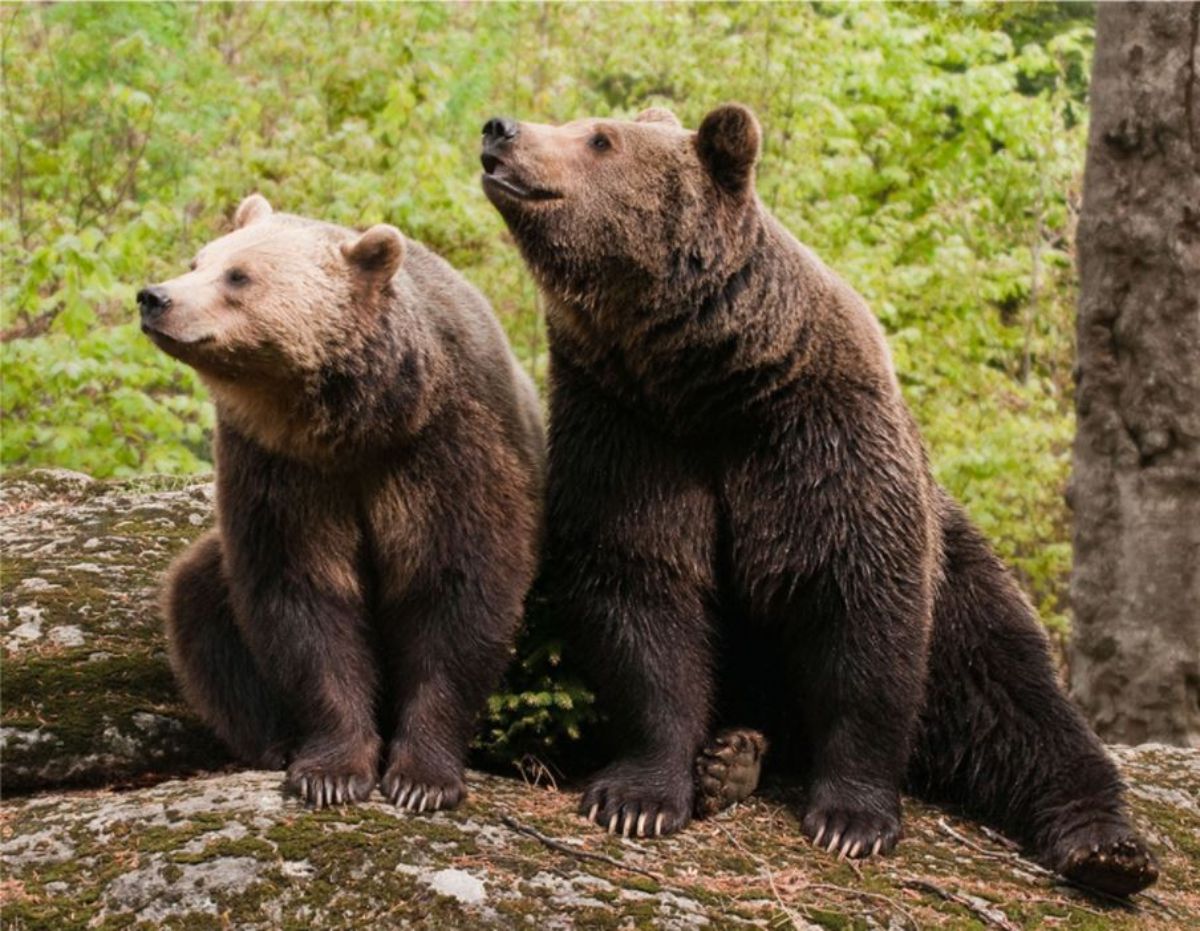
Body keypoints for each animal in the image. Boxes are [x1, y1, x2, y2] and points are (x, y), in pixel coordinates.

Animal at [137, 194, 544, 806]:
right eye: (197, 261)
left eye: (238, 275)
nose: (155, 297)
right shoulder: (281, 471)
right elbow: (304, 595)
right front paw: (330, 770)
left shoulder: (451, 451)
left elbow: (455, 589)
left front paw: (422, 779)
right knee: (200, 601)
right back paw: (276, 742)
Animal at [482, 103, 1156, 892]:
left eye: (599, 138)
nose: (501, 130)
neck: (703, 377)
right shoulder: (627, 430)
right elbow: (643, 591)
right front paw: (637, 796)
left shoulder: (820, 438)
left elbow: (859, 609)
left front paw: (851, 819)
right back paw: (734, 759)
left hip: (965, 575)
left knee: (1017, 696)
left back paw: (1107, 845)